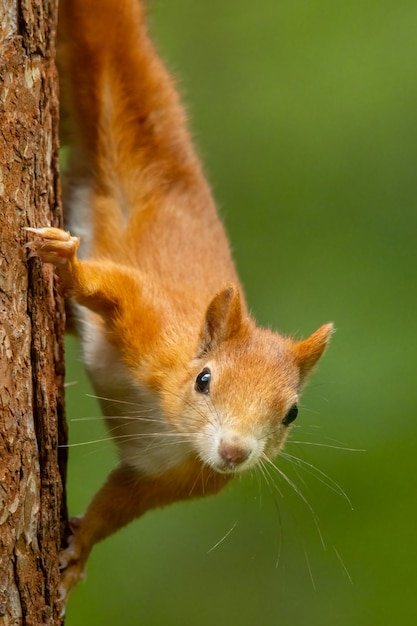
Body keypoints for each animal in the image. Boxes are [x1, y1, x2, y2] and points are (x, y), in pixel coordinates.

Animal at [25, 0, 332, 604]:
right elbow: (113, 286)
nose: (234, 453)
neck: (176, 429)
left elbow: (117, 503)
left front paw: (78, 552)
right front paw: (66, 264)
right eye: (204, 379)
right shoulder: (154, 323)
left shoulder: (166, 478)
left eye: (291, 413)